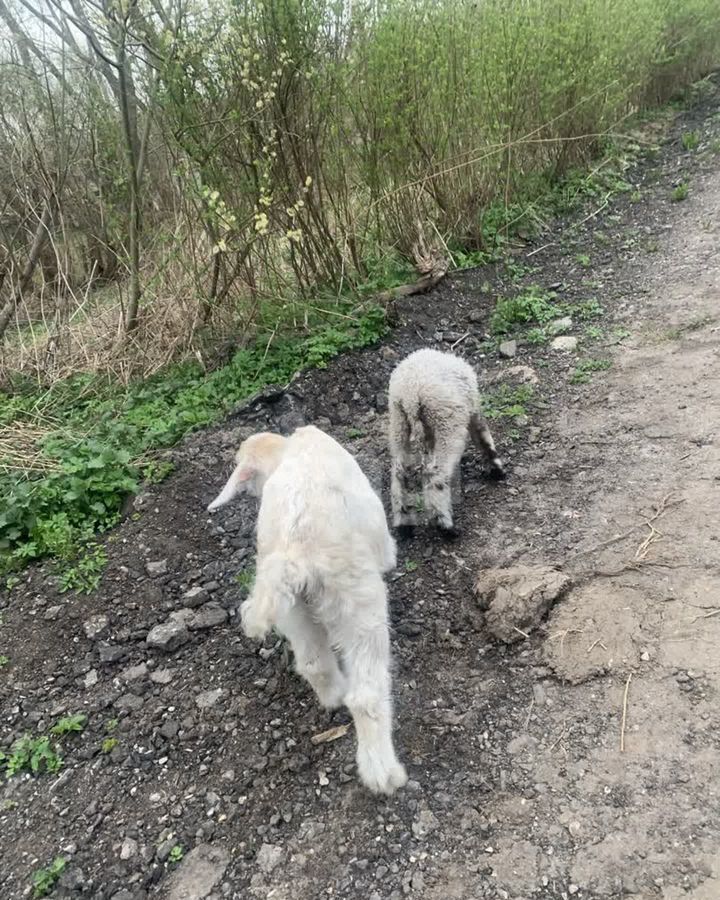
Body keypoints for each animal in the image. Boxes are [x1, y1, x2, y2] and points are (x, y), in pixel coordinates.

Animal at [210, 428, 410, 796]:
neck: (287, 450)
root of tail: (293, 556)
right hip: (359, 607)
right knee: (366, 696)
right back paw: (383, 773)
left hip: (294, 613)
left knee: (313, 664)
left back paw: (334, 695)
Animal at [388, 348, 506, 536]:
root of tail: (411, 395)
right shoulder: (473, 409)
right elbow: (483, 438)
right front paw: (498, 469)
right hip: (447, 424)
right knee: (436, 475)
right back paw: (446, 526)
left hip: (398, 423)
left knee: (399, 474)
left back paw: (403, 524)